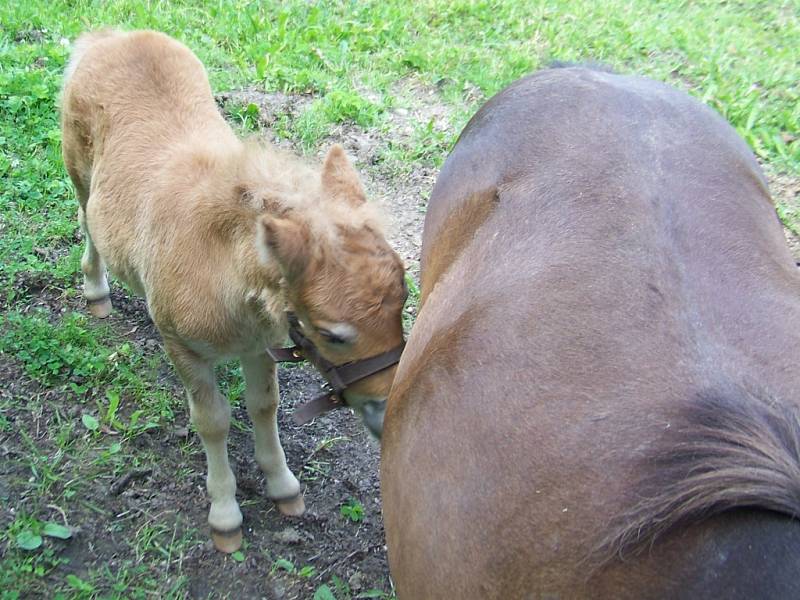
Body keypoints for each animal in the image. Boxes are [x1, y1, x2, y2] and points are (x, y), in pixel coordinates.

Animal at [61, 30, 406, 552]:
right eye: (333, 334)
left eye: (404, 304)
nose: (390, 416)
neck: (219, 269)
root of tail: (109, 36)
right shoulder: (180, 345)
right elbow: (213, 420)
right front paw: (225, 514)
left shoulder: (261, 342)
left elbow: (264, 405)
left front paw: (282, 486)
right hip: (77, 171)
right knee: (86, 219)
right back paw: (96, 291)